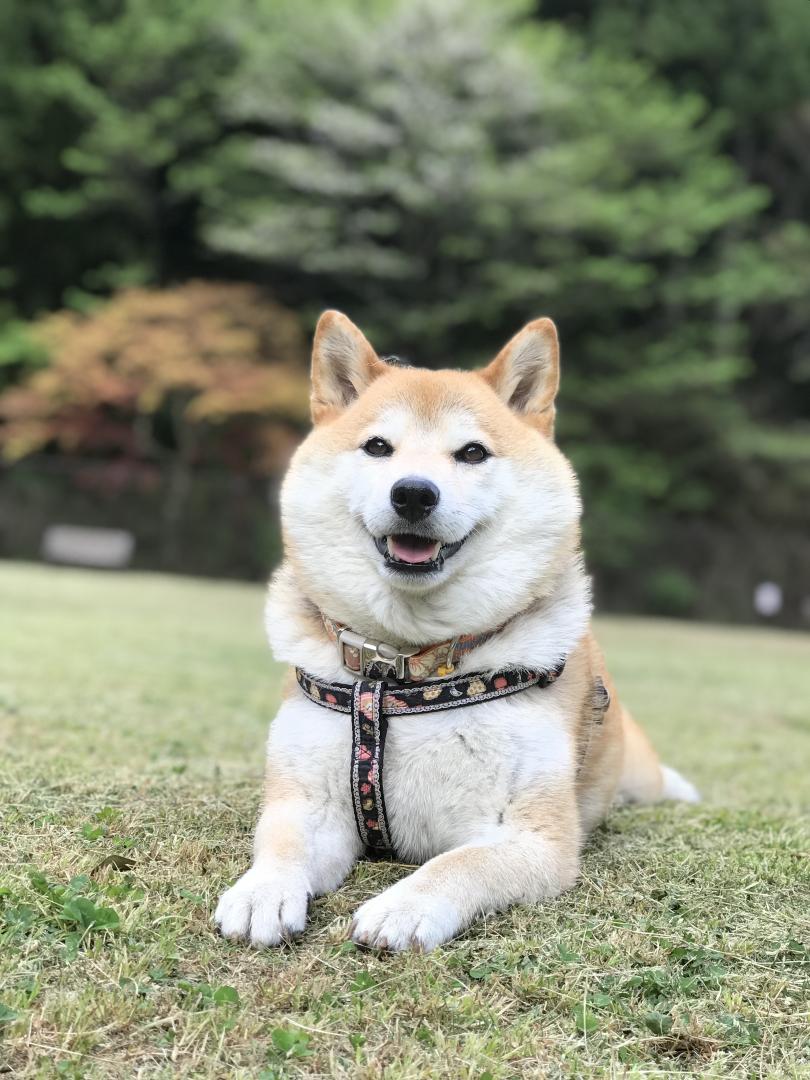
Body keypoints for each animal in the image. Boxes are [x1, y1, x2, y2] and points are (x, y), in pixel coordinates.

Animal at [216, 308, 699, 950]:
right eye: (378, 447)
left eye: (472, 453)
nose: (414, 493)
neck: (404, 671)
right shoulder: (307, 801)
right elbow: (281, 843)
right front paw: (263, 891)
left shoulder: (534, 837)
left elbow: (460, 863)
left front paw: (405, 905)